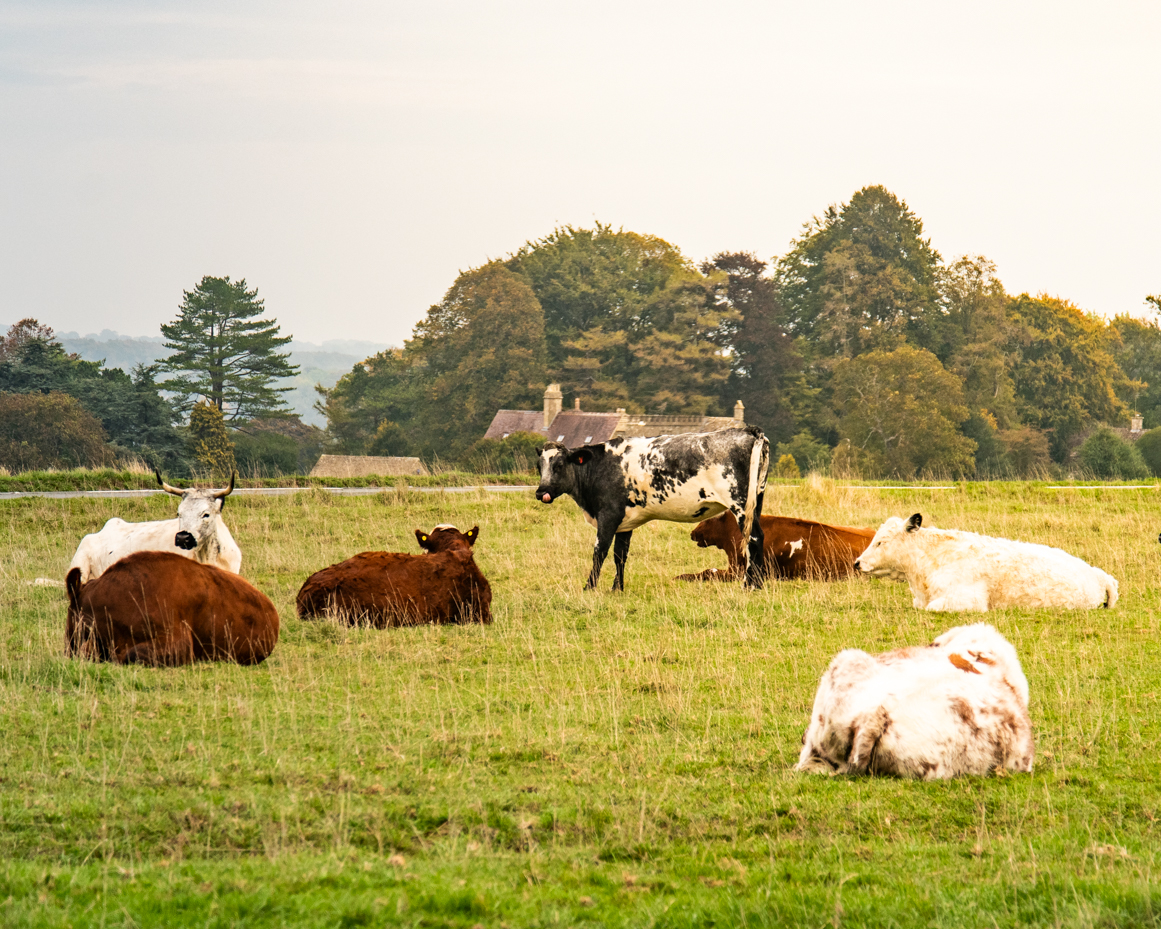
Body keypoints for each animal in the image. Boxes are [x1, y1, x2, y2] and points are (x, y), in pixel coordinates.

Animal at [535, 427, 770, 591]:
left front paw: (589, 587)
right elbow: (620, 555)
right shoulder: (625, 522)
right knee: (759, 537)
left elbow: (599, 552)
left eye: (559, 465)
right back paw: (757, 583)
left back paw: (750, 585)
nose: (541, 492)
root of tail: (747, 430)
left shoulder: (608, 515)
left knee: (753, 539)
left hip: (740, 504)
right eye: (539, 466)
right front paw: (617, 588)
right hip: (755, 502)